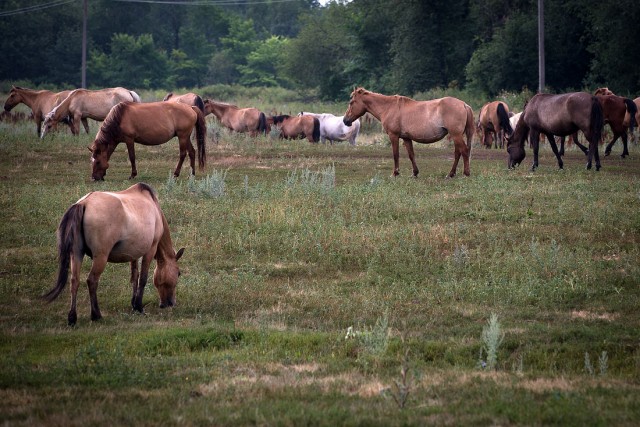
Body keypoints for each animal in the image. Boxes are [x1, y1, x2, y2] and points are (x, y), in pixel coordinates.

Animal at [42, 182, 185, 326]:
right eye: (178, 273)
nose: (170, 303)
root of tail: (84, 203)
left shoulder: (133, 254)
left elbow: (135, 277)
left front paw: (134, 305)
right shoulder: (151, 249)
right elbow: (143, 279)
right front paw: (139, 307)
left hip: (76, 254)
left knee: (74, 281)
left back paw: (72, 318)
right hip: (100, 257)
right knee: (92, 280)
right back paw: (96, 315)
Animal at [342, 88, 472, 178]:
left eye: (351, 102)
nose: (345, 120)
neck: (388, 107)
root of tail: (464, 104)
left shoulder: (393, 136)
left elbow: (396, 155)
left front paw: (395, 173)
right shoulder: (406, 138)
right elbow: (411, 155)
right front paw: (415, 173)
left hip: (456, 135)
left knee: (464, 151)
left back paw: (466, 173)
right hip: (456, 136)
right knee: (458, 153)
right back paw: (451, 174)